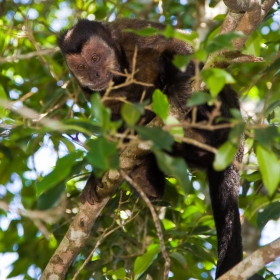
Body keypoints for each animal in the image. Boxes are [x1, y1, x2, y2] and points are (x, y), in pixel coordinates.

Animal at [57, 18, 243, 278]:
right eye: (81, 67)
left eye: (95, 57)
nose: (93, 73)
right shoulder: (89, 90)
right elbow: (112, 119)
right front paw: (96, 175)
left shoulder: (132, 36)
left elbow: (180, 48)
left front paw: (177, 87)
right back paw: (145, 176)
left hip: (222, 119)